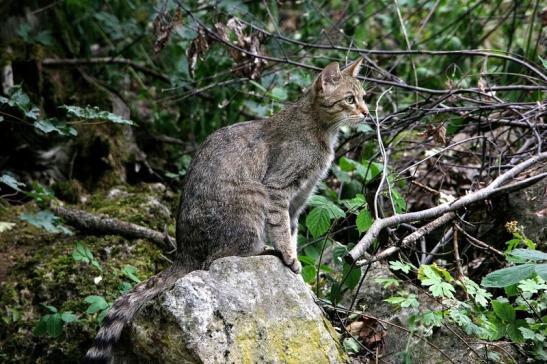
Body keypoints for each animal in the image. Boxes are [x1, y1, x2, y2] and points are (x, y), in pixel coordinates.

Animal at [84, 58, 368, 362]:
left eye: (364, 97)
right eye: (350, 99)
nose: (366, 113)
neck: (320, 129)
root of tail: (183, 254)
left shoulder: (298, 202)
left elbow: (291, 233)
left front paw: (296, 268)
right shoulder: (278, 189)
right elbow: (281, 231)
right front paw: (289, 258)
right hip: (251, 200)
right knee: (219, 259)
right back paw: (263, 251)